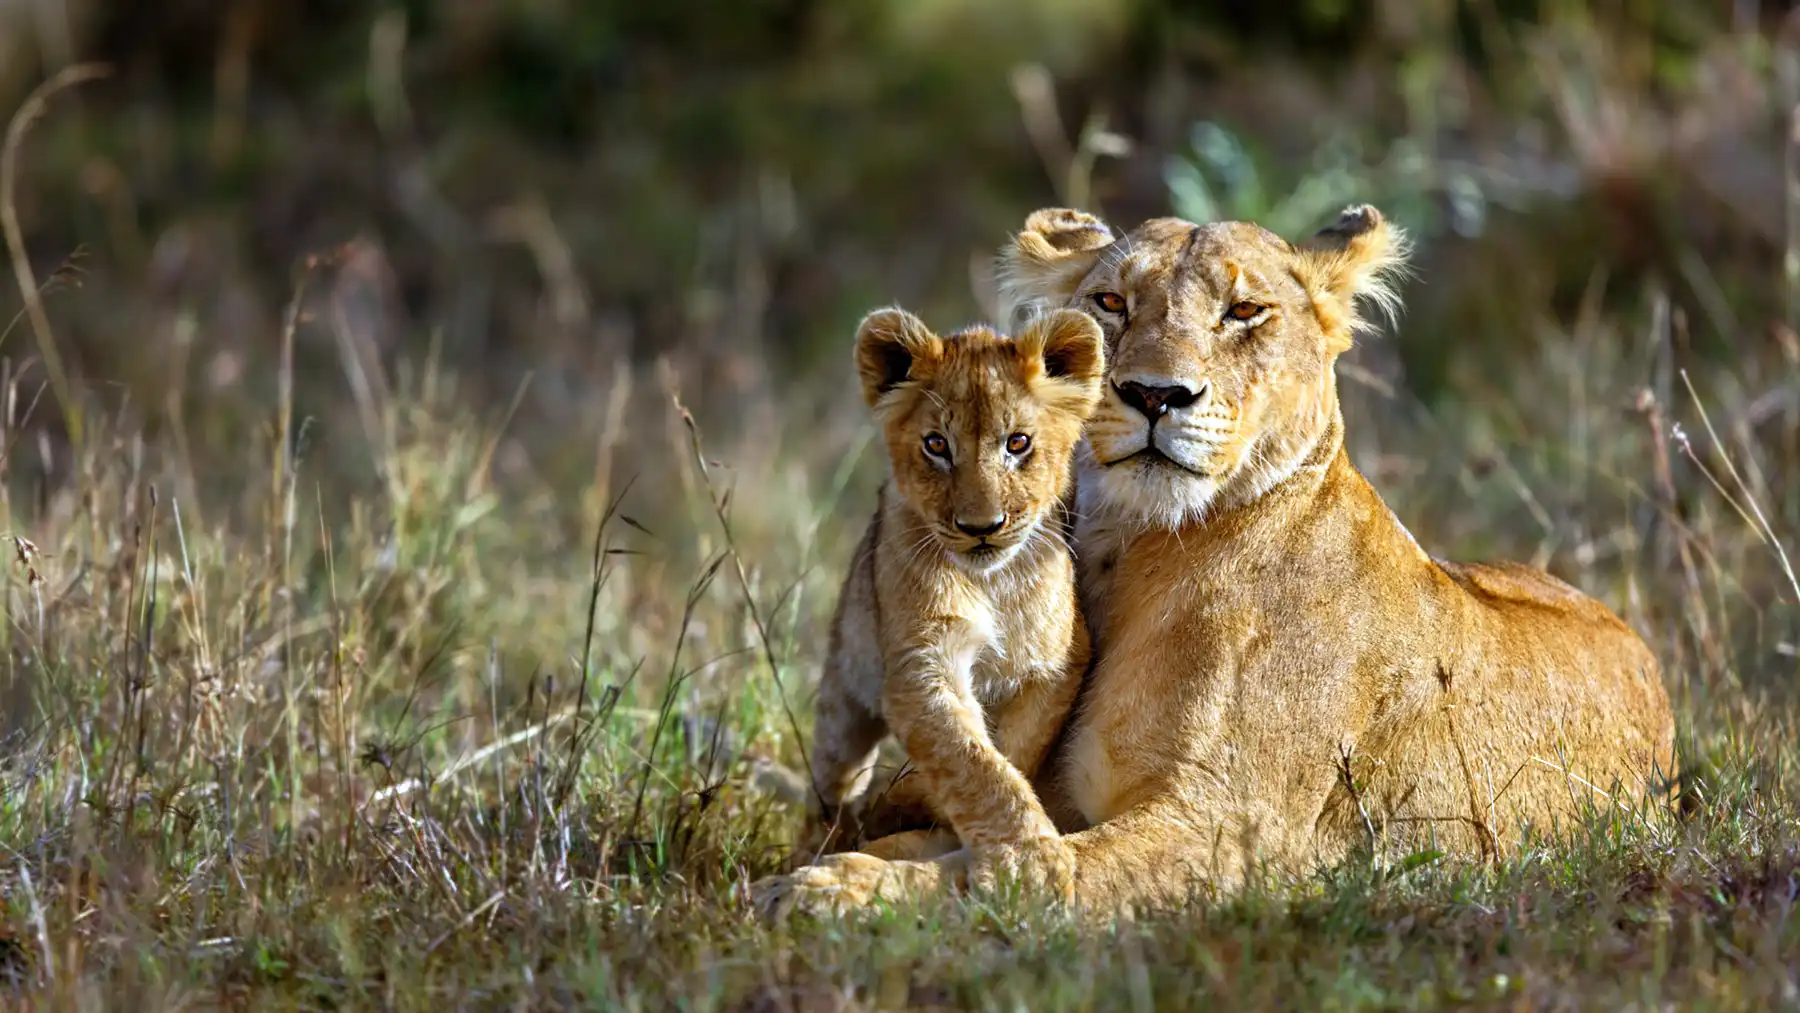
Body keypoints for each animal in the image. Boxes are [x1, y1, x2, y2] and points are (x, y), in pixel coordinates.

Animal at [789, 305, 1107, 894]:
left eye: (1017, 443)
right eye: (937, 445)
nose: (981, 528)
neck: (992, 584)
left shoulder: (1056, 664)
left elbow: (1011, 752)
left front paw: (914, 803)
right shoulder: (921, 665)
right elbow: (971, 761)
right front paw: (1029, 860)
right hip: (843, 695)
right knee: (831, 783)